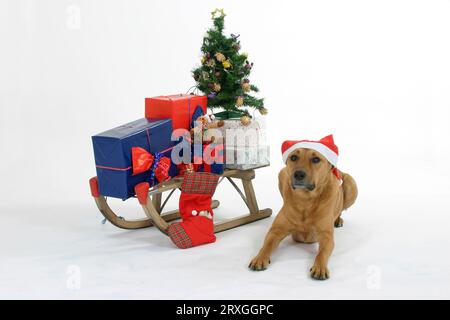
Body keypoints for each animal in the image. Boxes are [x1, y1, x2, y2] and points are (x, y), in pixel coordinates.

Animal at [248, 135, 356, 280]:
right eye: (294, 157)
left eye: (316, 159)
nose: (298, 174)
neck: (305, 200)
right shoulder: (276, 231)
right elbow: (266, 245)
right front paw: (259, 258)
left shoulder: (326, 236)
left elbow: (322, 253)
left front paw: (320, 267)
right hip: (282, 173)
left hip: (351, 182)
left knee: (341, 209)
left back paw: (338, 220)